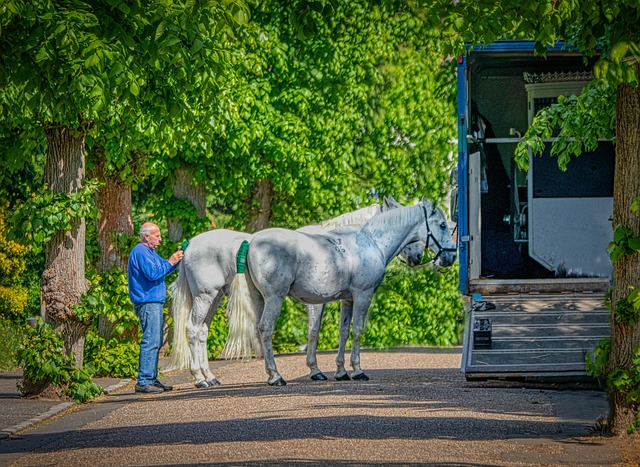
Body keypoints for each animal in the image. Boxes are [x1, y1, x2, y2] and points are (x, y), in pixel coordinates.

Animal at [166, 197, 422, 388]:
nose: (417, 256)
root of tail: (190, 245)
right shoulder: (317, 302)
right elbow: (313, 332)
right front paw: (316, 370)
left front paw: (326, 370)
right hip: (206, 296)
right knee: (194, 329)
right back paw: (203, 378)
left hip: (215, 297)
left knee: (202, 331)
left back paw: (209, 377)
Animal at [223, 199, 457, 386]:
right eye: (442, 225)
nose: (450, 256)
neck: (370, 242)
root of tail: (252, 240)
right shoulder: (362, 295)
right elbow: (357, 330)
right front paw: (357, 370)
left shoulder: (347, 300)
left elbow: (343, 332)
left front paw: (341, 371)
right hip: (274, 298)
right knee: (266, 328)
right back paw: (276, 376)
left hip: (257, 298)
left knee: (258, 328)